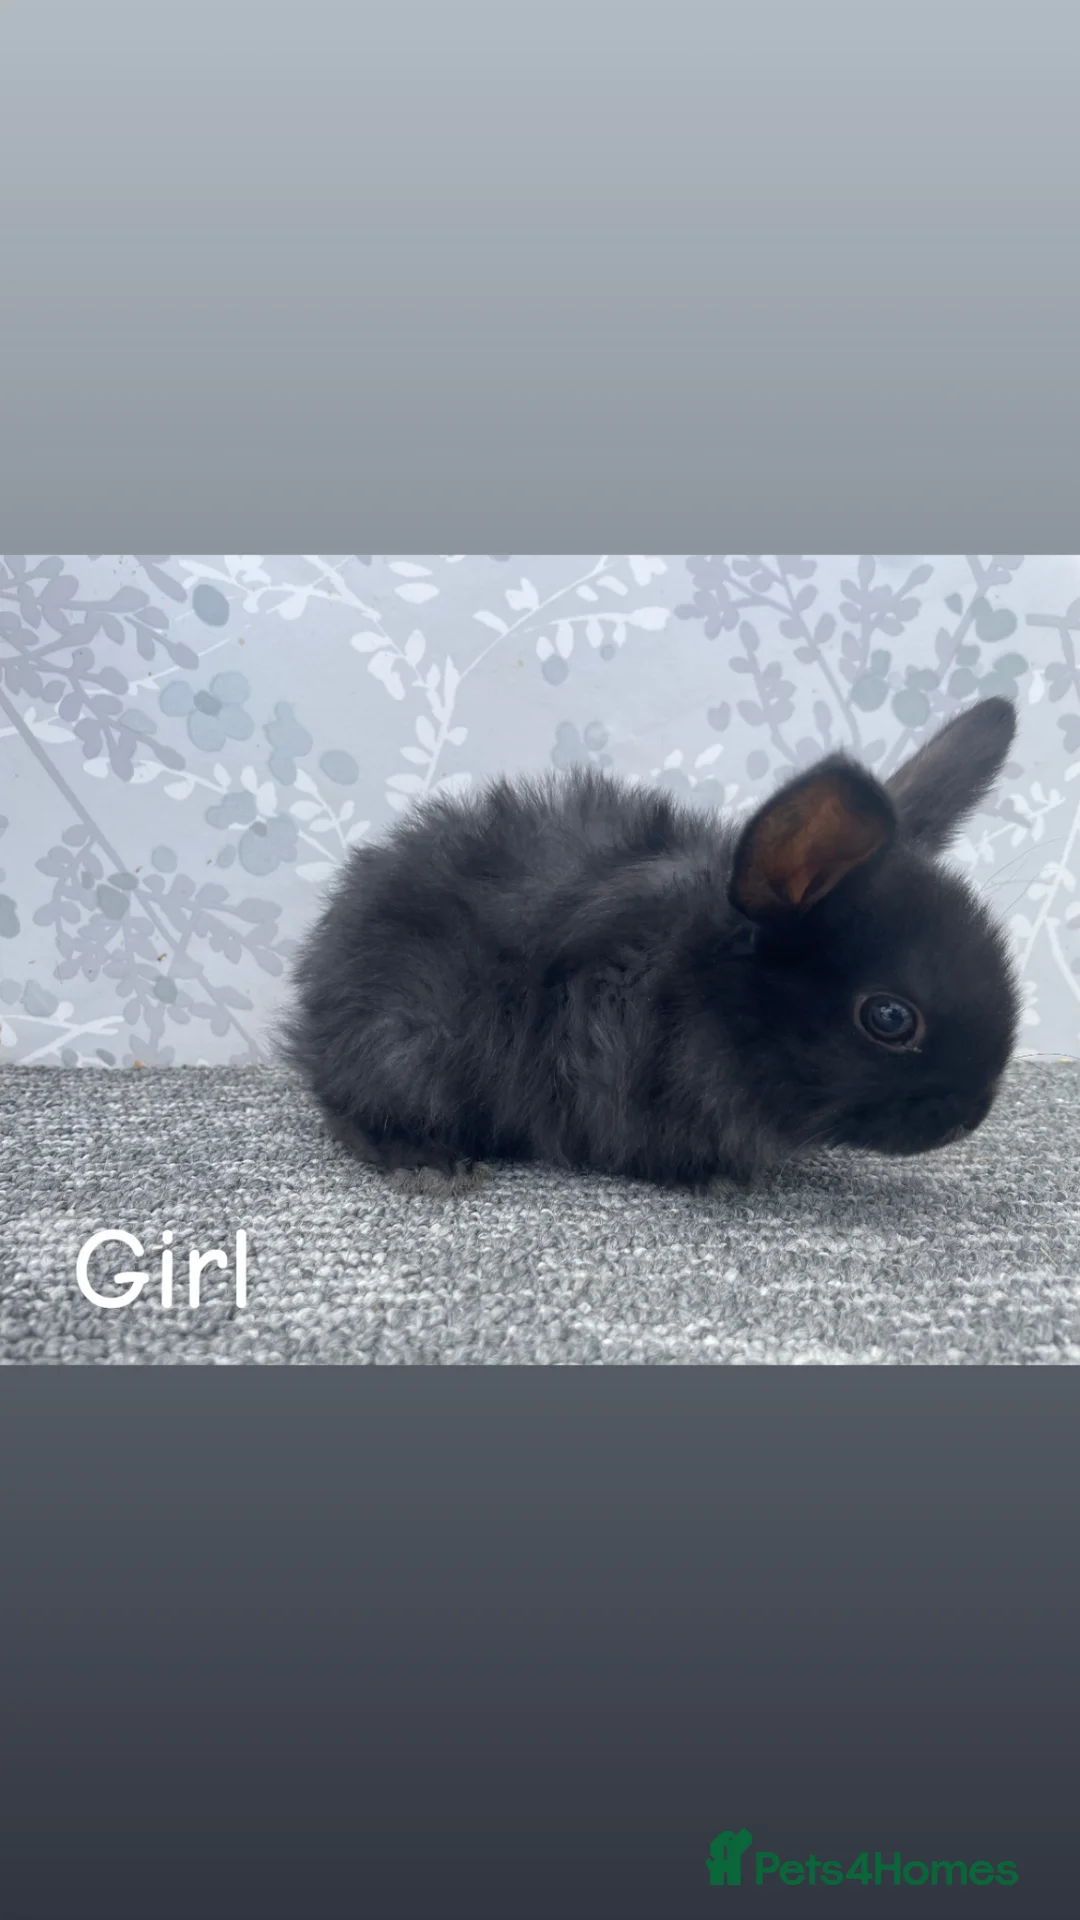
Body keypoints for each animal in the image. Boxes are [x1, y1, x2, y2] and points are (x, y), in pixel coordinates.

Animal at [281, 696, 1020, 1196]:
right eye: (890, 1018)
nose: (974, 1117)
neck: (695, 981)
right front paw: (722, 1181)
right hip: (406, 1045)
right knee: (351, 1111)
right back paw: (430, 1165)